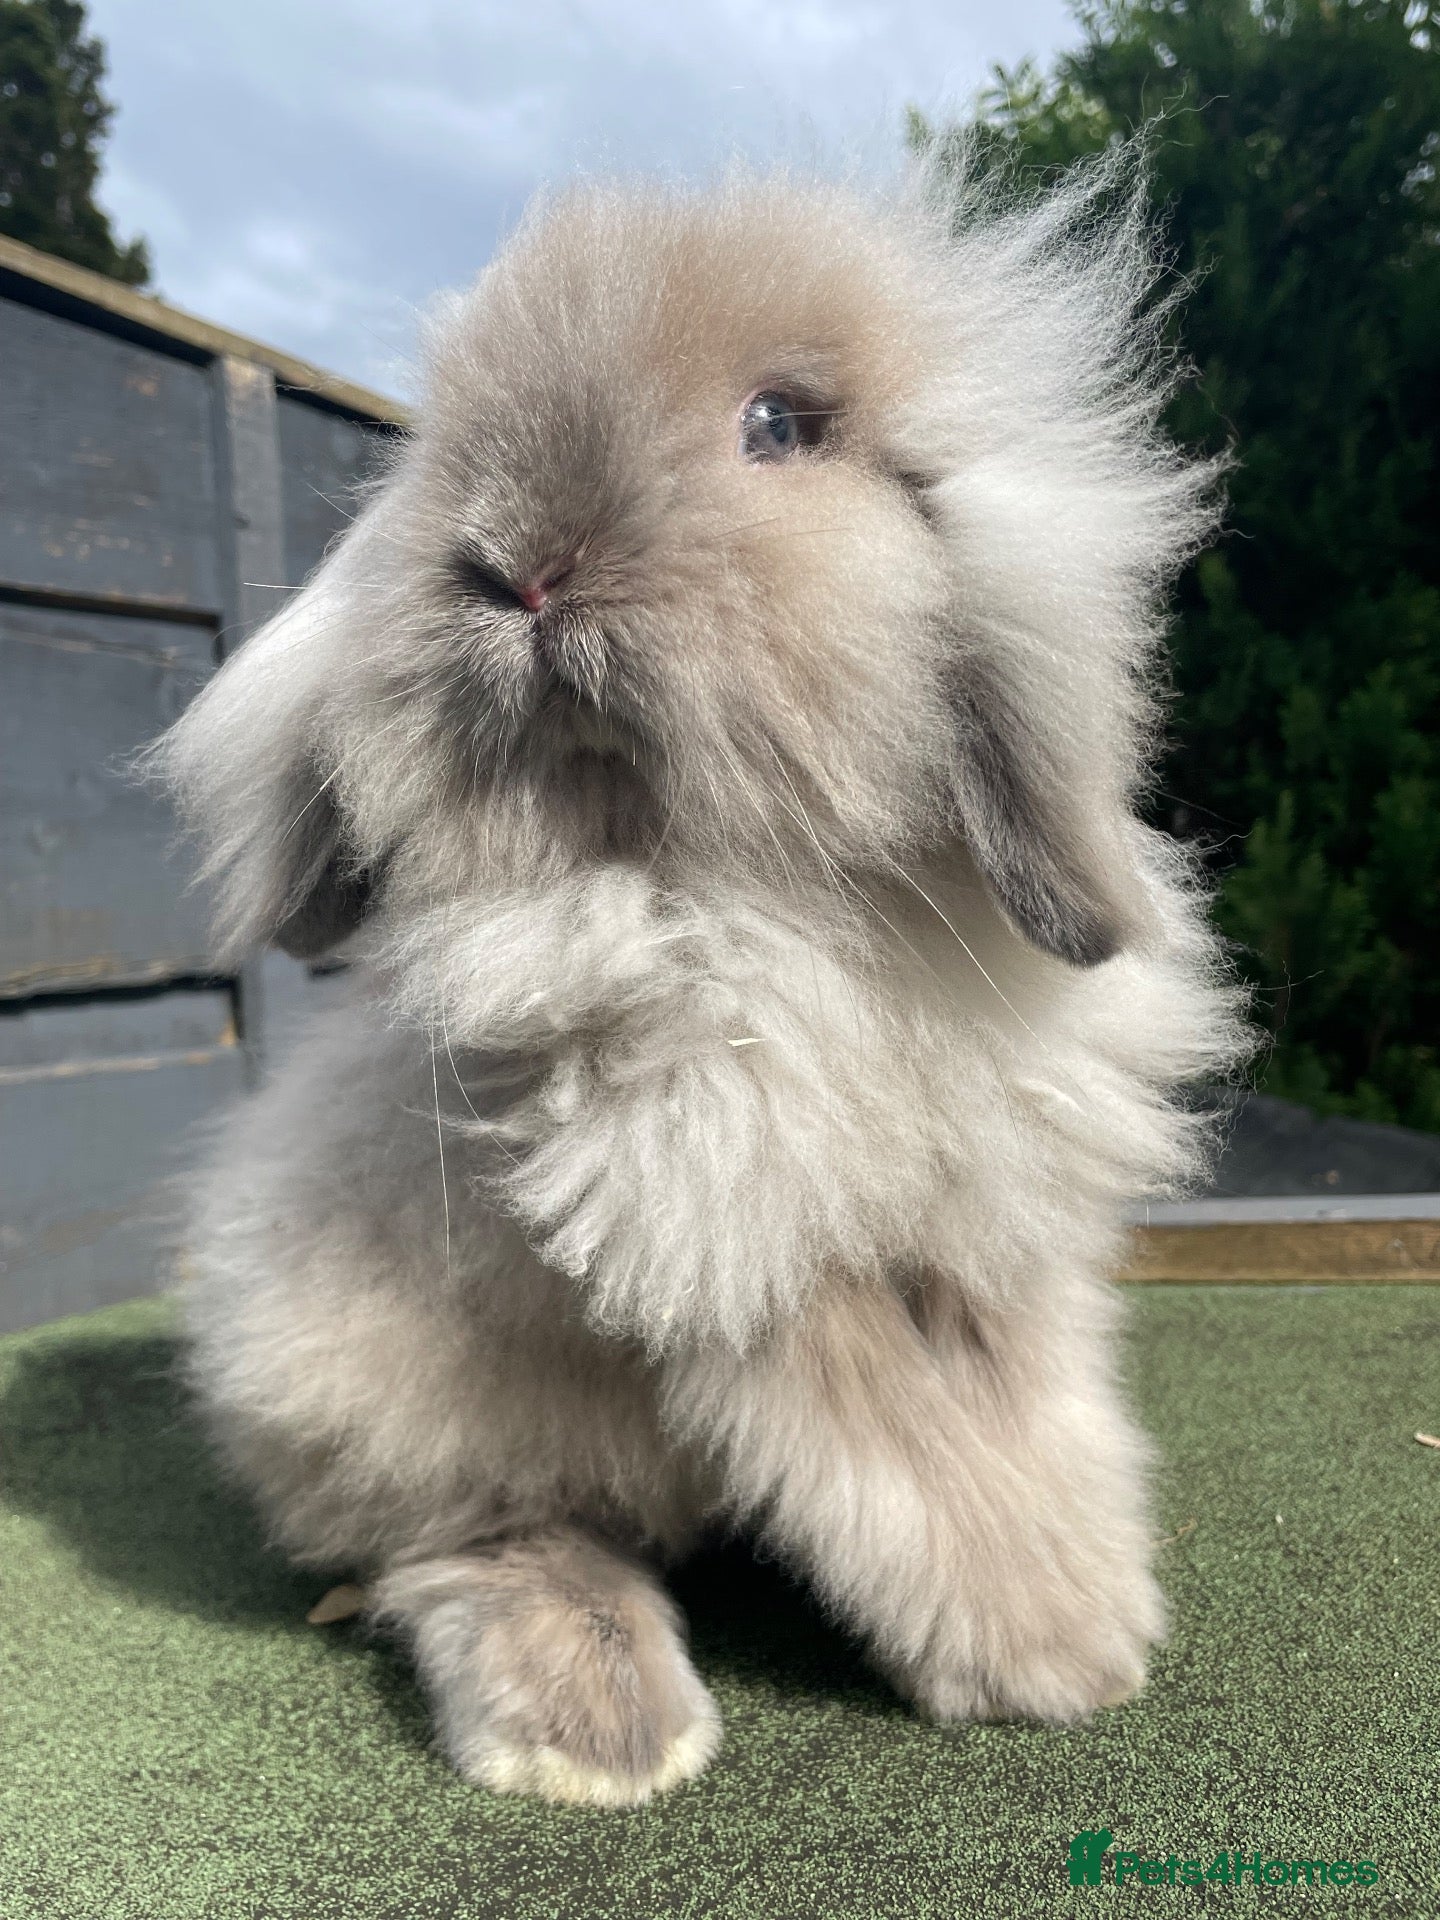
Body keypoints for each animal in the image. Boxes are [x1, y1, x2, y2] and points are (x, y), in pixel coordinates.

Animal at [151, 146, 1249, 1807]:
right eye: (445, 442)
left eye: (779, 425)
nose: (515, 564)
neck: (762, 903)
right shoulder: (739, 1248)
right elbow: (907, 1443)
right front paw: (1054, 1658)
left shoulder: (985, 1248)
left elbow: (1013, 1421)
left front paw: (1090, 1623)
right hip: (406, 1397)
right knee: (461, 1547)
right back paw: (598, 1728)